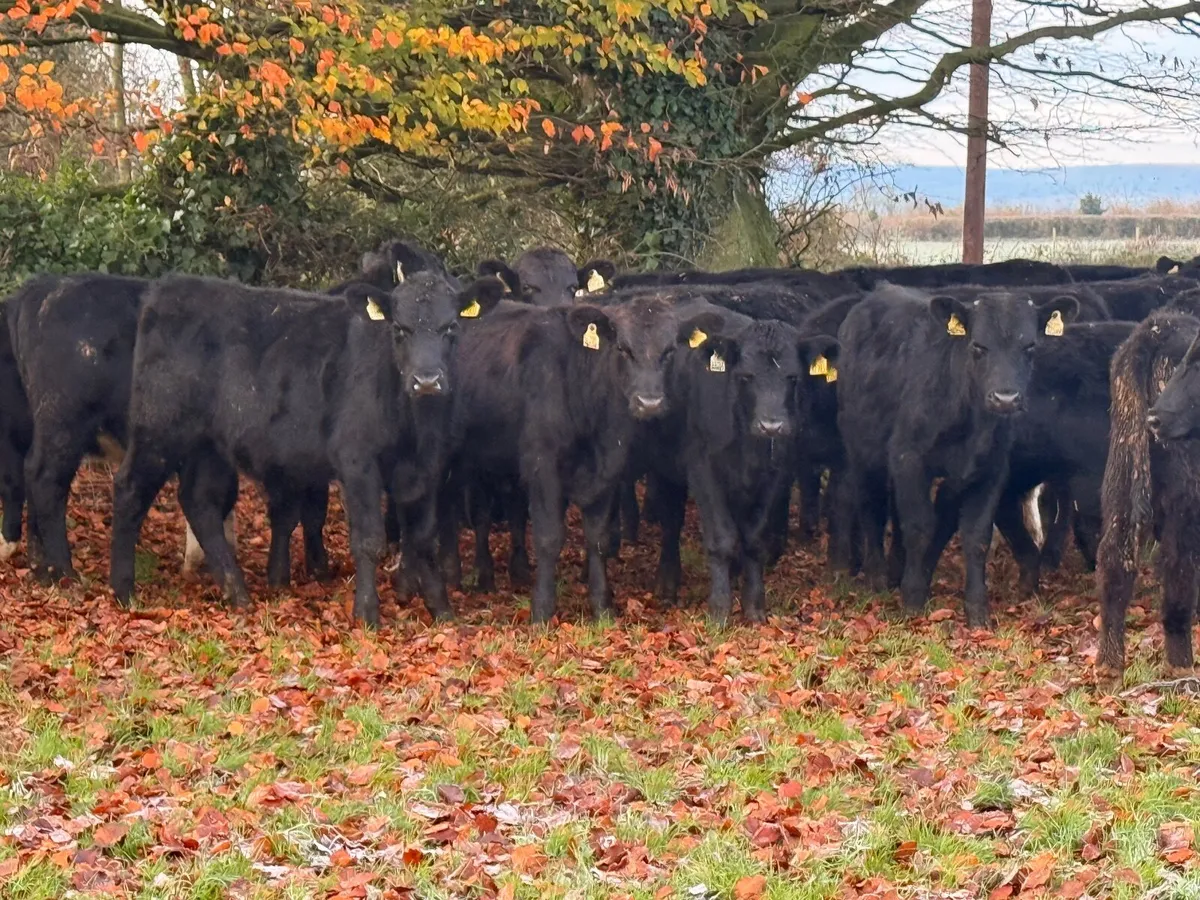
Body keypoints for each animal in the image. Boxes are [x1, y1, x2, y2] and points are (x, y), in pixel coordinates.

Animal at [109, 271, 505, 626]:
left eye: (451, 328)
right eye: (399, 329)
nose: (426, 381)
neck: (415, 427)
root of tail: (169, 286)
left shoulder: (427, 466)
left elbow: (423, 539)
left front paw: (442, 611)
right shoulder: (357, 460)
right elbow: (369, 539)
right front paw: (367, 614)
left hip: (207, 445)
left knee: (199, 503)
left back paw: (238, 593)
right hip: (158, 428)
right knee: (130, 491)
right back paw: (123, 590)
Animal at [834, 283, 1079, 626]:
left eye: (1029, 346)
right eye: (978, 346)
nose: (1005, 398)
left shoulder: (989, 470)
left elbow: (976, 536)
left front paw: (977, 610)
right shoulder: (909, 460)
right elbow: (919, 528)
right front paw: (913, 599)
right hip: (861, 449)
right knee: (871, 506)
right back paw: (878, 576)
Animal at [1096, 310, 1200, 678]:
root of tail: (1156, 329)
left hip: (1121, 476)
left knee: (1115, 559)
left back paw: (1110, 666)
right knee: (1178, 569)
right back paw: (1182, 666)